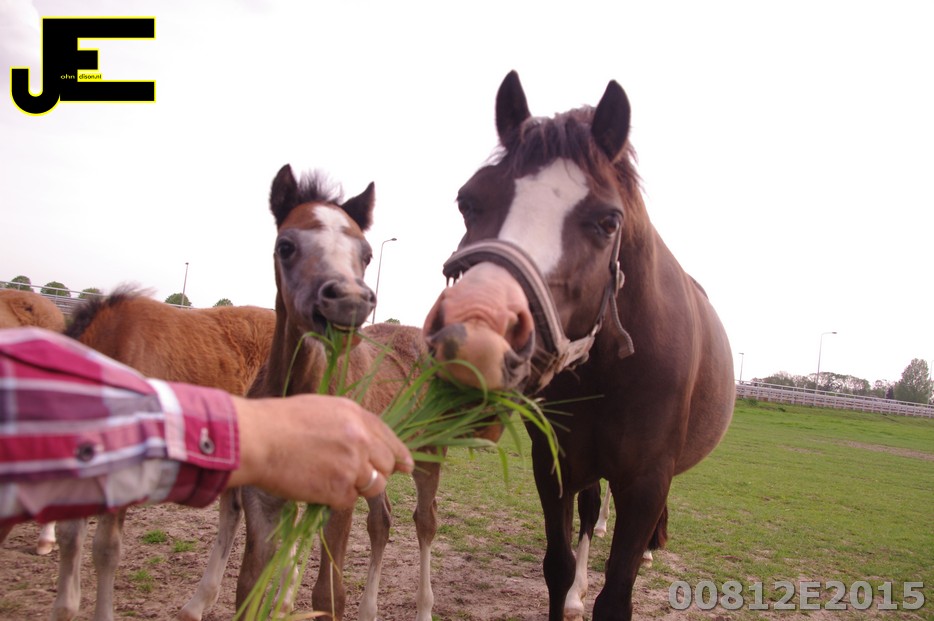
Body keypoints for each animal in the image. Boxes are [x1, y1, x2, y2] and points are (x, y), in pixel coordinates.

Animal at [179, 164, 451, 621]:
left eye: (366, 254)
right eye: (285, 246)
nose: (350, 300)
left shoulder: (338, 498)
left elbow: (328, 595)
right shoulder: (264, 499)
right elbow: (248, 590)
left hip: (429, 453)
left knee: (424, 521)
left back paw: (425, 608)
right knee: (382, 521)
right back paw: (369, 610)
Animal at [423, 71, 735, 620]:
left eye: (608, 221)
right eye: (467, 200)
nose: (475, 340)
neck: (611, 368)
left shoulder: (646, 480)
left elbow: (618, 592)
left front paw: (634, 560)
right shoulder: (555, 465)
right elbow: (559, 563)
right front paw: (570, 592)